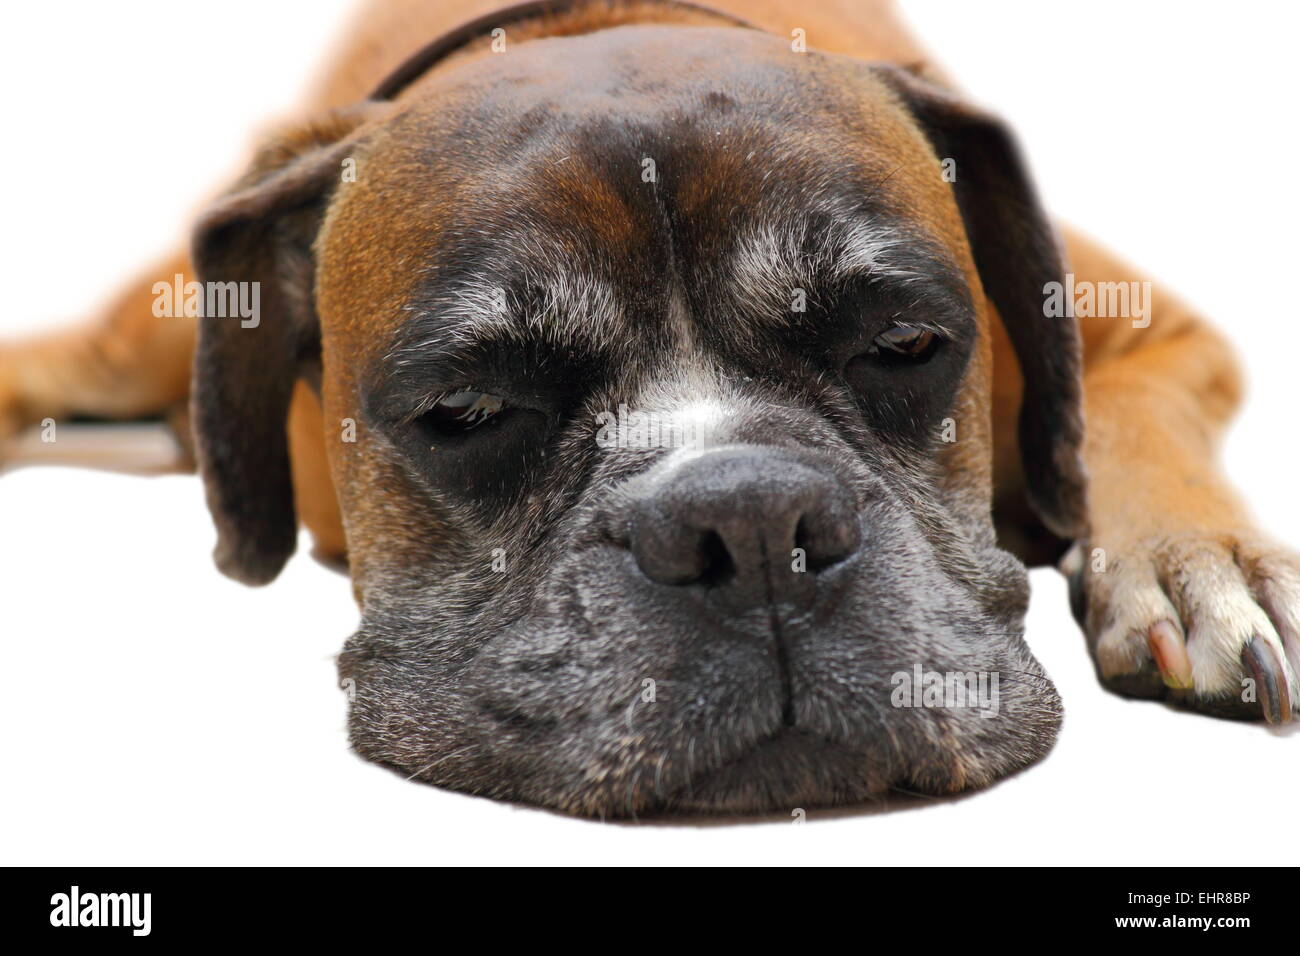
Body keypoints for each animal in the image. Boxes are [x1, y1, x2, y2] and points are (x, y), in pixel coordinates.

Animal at [2, 0, 1300, 816]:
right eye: (464, 407)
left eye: (904, 345)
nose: (753, 523)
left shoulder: (1156, 331)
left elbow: (1130, 423)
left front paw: (1195, 562)